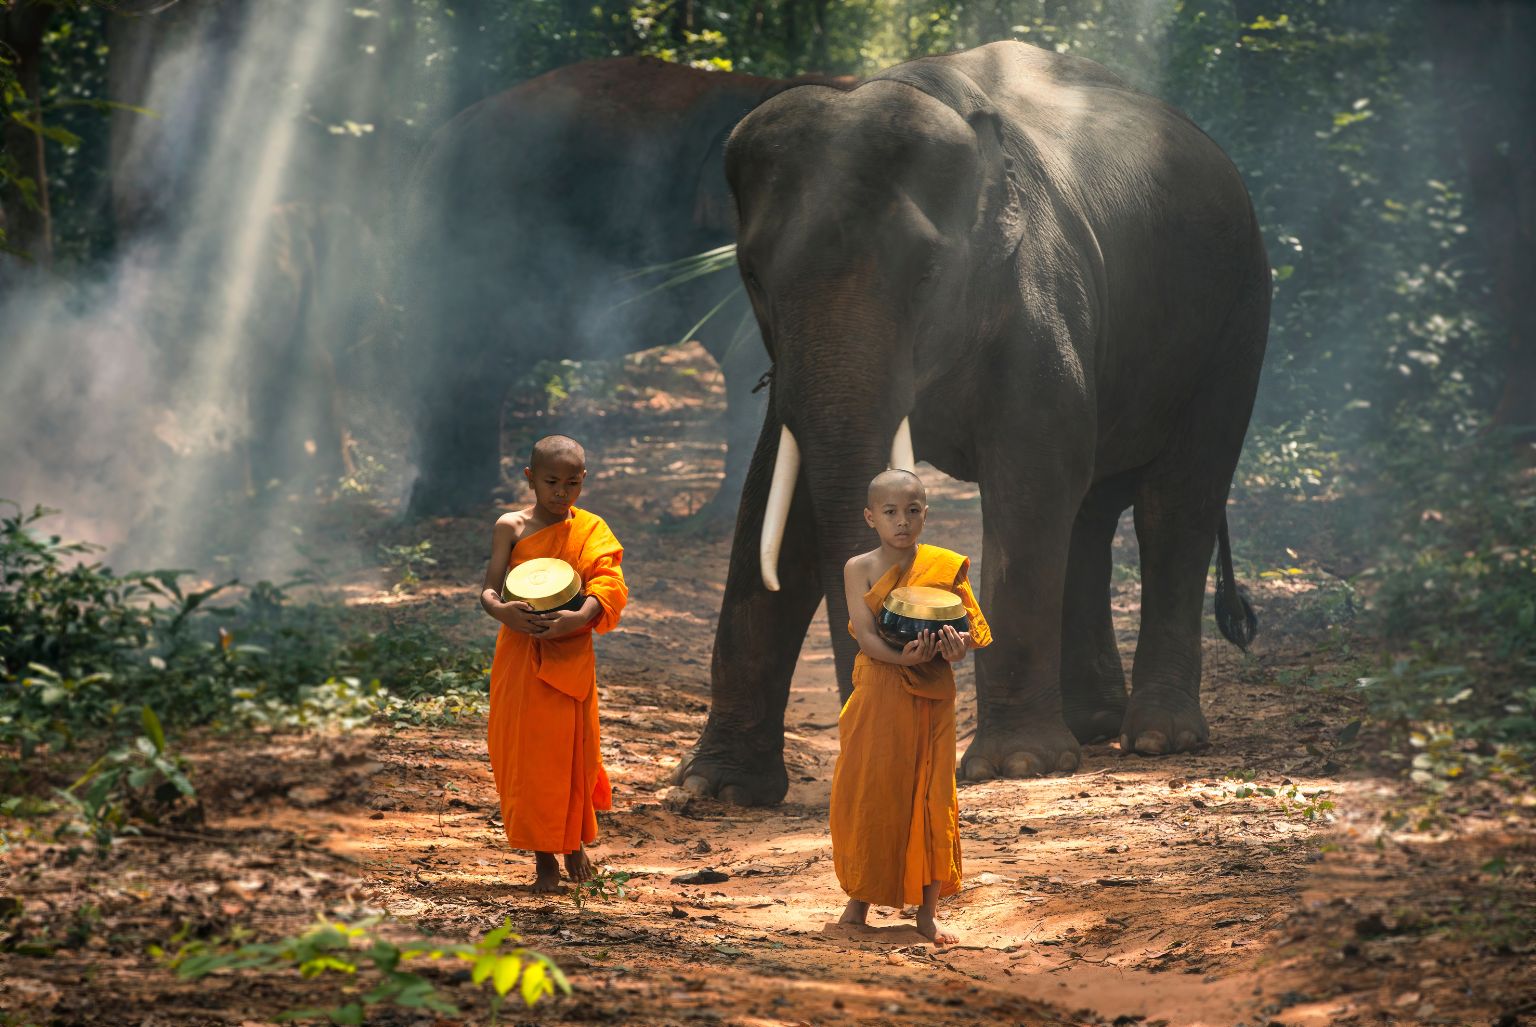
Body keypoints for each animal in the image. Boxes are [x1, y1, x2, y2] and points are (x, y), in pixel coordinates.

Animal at [677, 41, 1266, 806]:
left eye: (928, 274)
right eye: (750, 275)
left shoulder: (1039, 299)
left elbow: (1033, 477)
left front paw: (1016, 765)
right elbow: (776, 503)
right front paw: (712, 787)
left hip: (1239, 316)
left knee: (1176, 503)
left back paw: (1158, 737)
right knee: (1090, 510)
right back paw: (1092, 723)